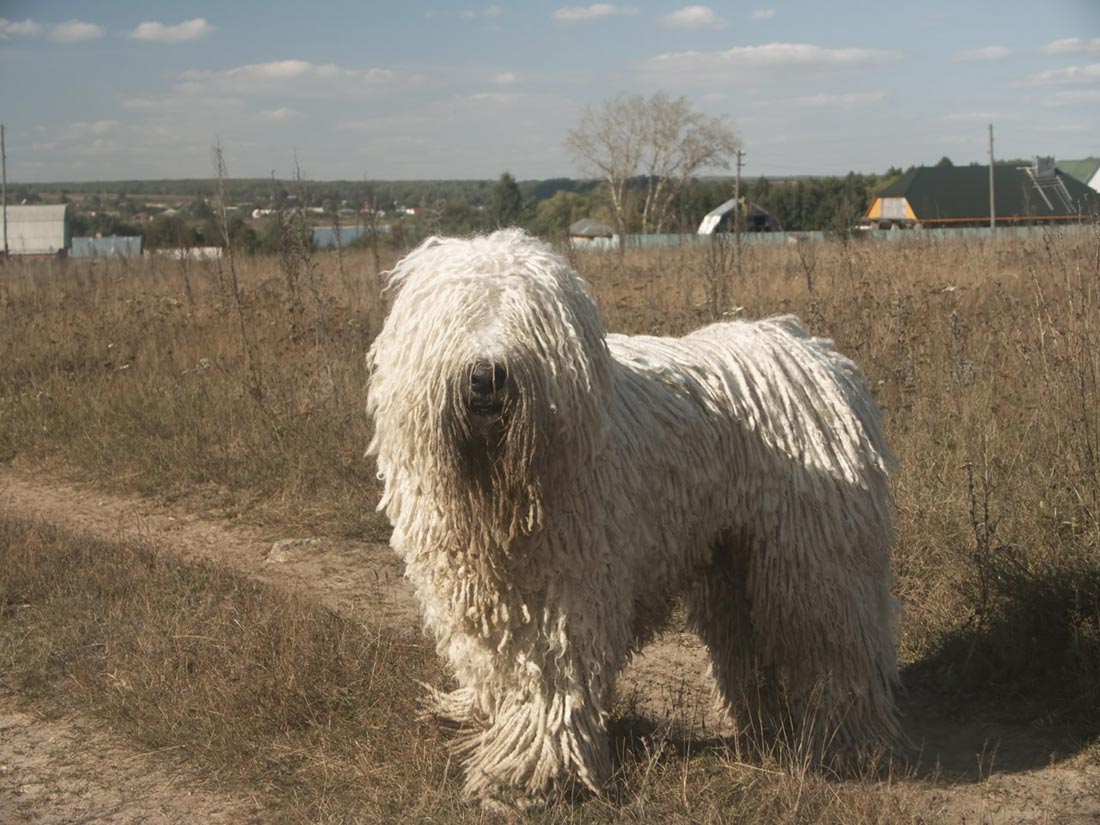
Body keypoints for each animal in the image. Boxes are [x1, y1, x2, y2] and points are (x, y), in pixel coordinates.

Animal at [369, 229, 902, 809]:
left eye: (527, 318)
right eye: (457, 313)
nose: (487, 375)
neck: (499, 490)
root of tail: (812, 352)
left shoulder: (568, 591)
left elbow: (553, 680)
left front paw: (528, 776)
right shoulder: (476, 596)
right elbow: (494, 667)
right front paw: (480, 719)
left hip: (813, 554)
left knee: (834, 638)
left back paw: (847, 740)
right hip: (730, 554)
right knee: (742, 632)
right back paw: (763, 723)